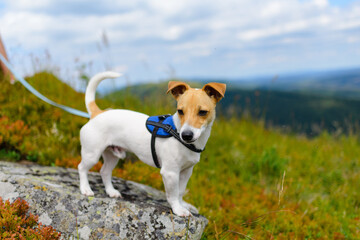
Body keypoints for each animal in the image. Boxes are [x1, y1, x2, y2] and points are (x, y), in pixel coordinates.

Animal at [78, 71, 225, 216]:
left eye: (203, 112)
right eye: (180, 111)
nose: (186, 135)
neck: (177, 133)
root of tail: (98, 113)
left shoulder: (186, 172)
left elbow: (180, 192)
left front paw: (182, 205)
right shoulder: (170, 173)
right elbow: (173, 194)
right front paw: (178, 209)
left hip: (112, 155)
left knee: (105, 172)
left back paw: (111, 191)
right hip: (92, 154)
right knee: (82, 168)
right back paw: (85, 188)